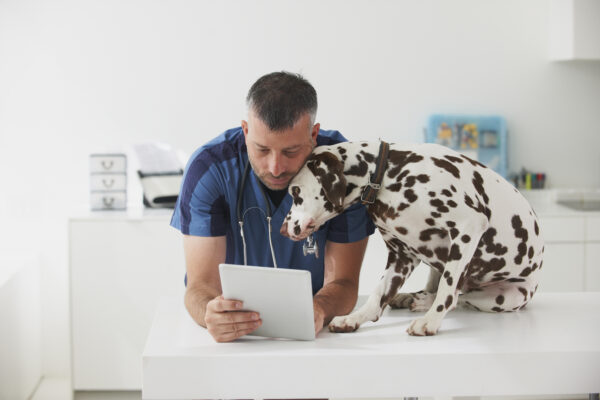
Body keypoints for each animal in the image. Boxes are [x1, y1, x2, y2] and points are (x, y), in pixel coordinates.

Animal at [282, 142, 544, 336]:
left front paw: (431, 321)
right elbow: (377, 296)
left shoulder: (468, 226)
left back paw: (424, 303)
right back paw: (411, 296)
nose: (283, 229)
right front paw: (354, 318)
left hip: (503, 296)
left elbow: (448, 290)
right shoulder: (401, 257)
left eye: (295, 191)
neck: (390, 175)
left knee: (461, 297)